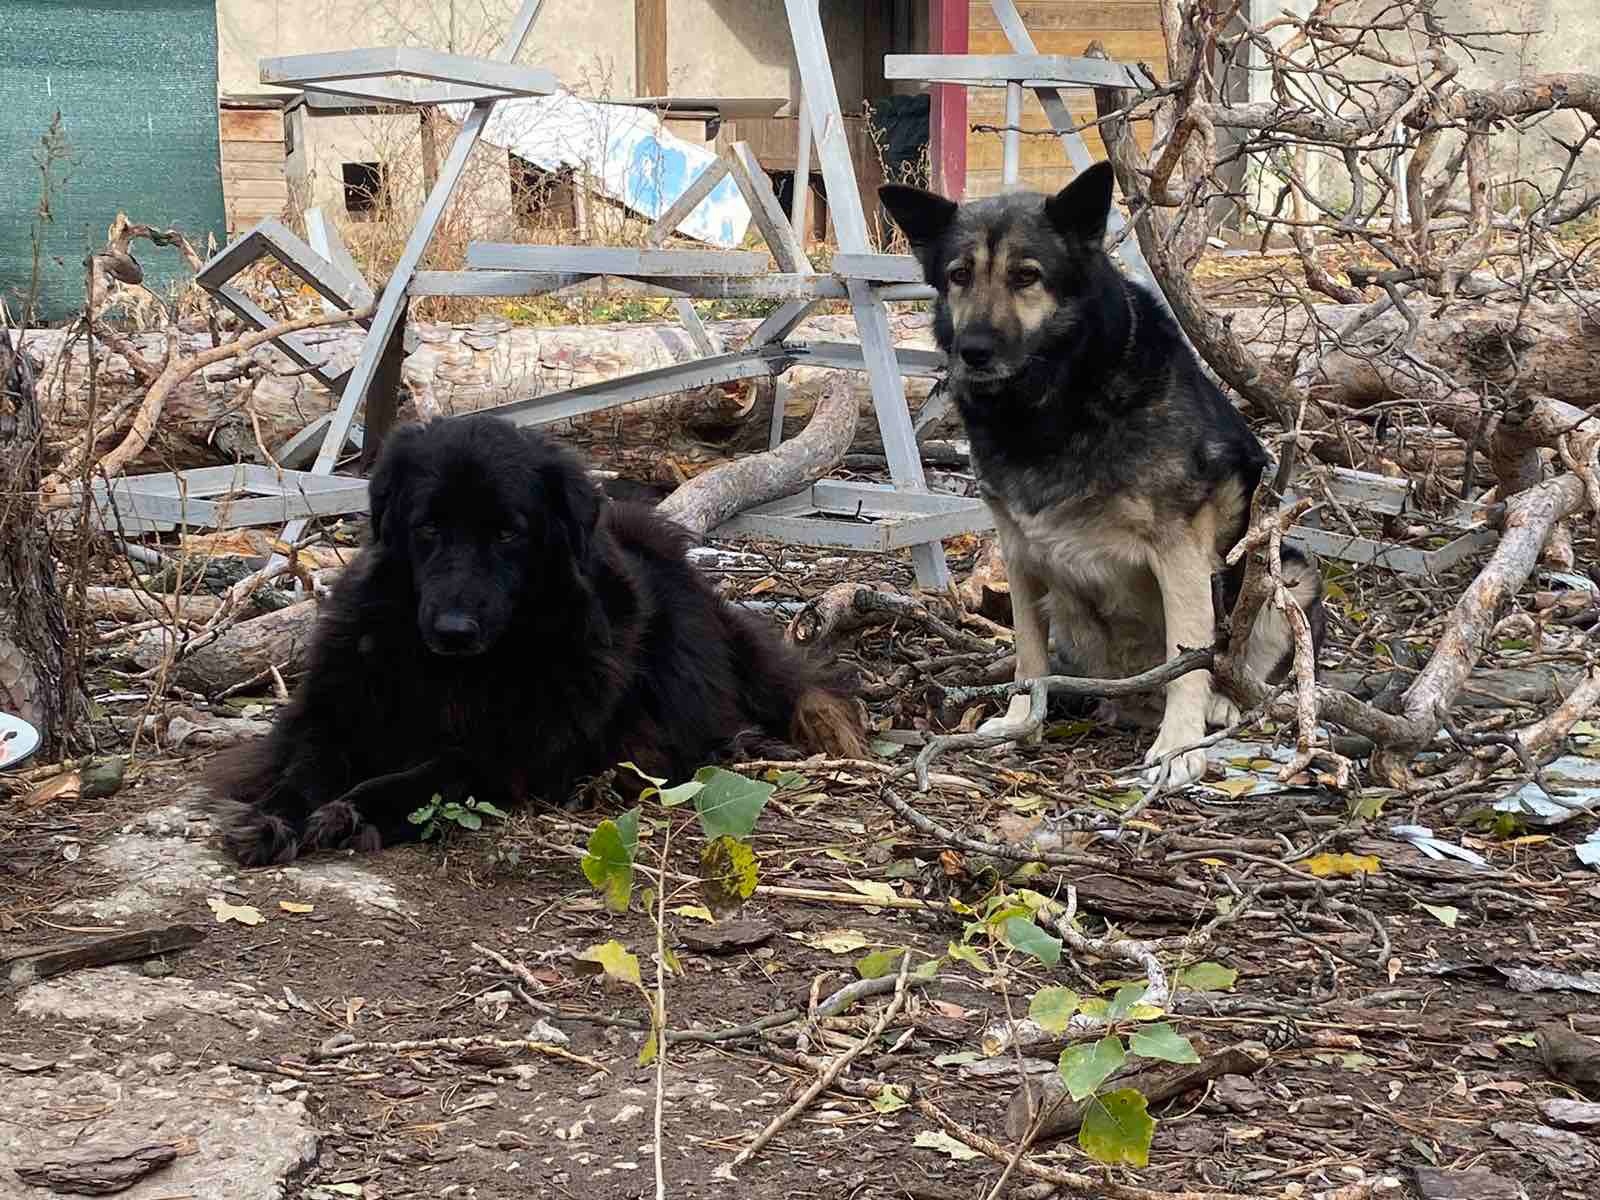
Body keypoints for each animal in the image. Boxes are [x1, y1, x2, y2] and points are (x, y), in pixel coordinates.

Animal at [211, 412, 870, 864]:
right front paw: (274, 818)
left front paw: (351, 812)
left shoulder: (514, 754)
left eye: (508, 533)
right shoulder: (334, 711)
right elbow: (306, 764)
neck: (454, 673)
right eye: (428, 528)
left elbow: (428, 775)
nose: (453, 631)